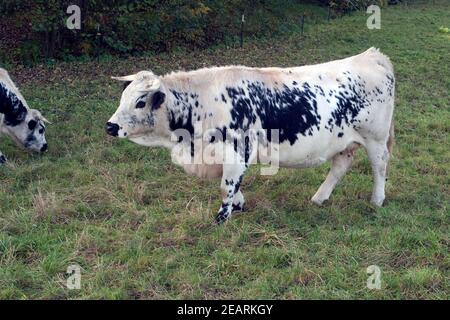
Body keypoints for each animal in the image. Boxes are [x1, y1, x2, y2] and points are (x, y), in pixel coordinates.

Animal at [107, 47, 396, 224]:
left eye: (140, 102)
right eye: (123, 97)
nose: (110, 126)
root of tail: (372, 56)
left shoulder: (238, 149)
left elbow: (226, 185)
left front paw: (222, 218)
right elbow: (231, 185)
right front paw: (239, 205)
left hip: (375, 138)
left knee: (380, 165)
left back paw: (377, 200)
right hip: (344, 140)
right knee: (340, 166)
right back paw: (319, 198)